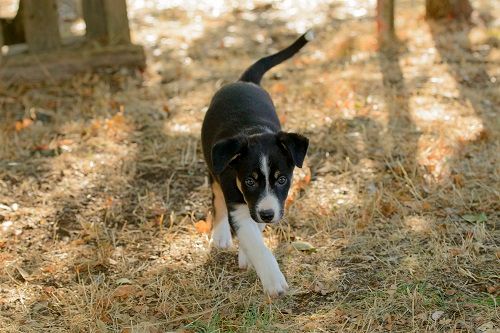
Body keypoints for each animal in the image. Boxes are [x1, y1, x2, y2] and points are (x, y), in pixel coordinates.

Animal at [200, 30, 312, 296]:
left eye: (282, 179)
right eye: (249, 181)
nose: (268, 215)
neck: (254, 130)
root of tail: (244, 81)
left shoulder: (267, 204)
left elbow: (256, 229)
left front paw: (246, 255)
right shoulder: (238, 202)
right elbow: (255, 241)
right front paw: (273, 280)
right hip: (212, 165)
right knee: (216, 197)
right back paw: (221, 235)